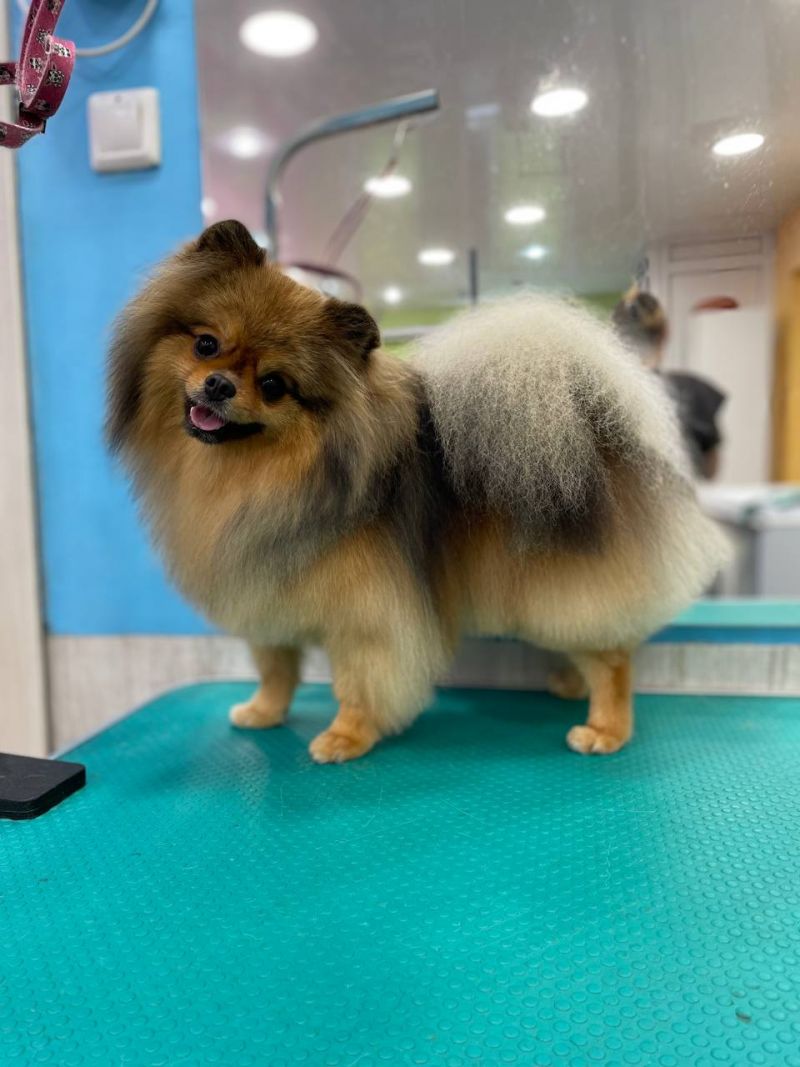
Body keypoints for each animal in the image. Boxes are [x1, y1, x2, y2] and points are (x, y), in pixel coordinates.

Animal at [106, 220, 729, 762]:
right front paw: (264, 711)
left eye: (275, 385)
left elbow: (358, 681)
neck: (251, 478)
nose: (217, 385)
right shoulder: (264, 593)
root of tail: (598, 426)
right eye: (206, 345)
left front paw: (347, 738)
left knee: (612, 657)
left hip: (558, 585)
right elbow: (276, 666)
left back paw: (605, 727)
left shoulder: (365, 615)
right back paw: (569, 685)